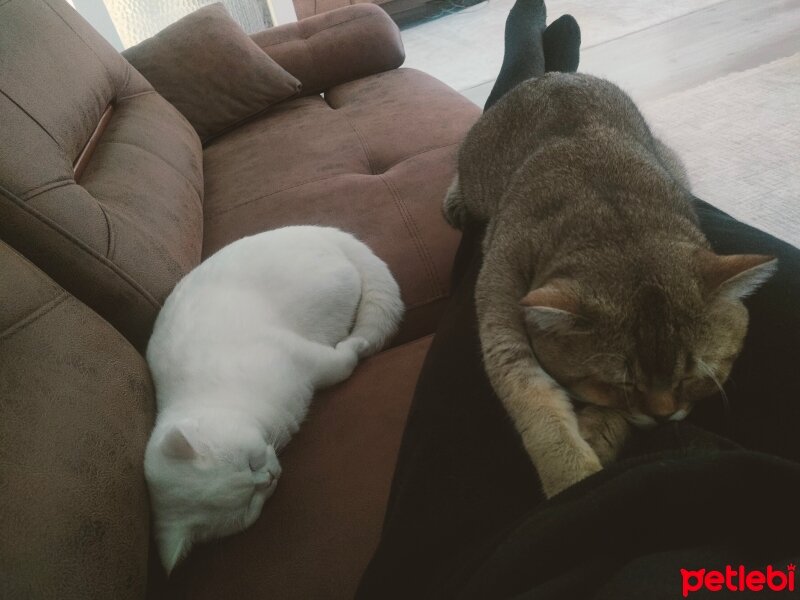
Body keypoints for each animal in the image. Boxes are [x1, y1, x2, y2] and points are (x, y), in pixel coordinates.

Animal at [144, 225, 404, 572]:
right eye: (250, 503)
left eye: (251, 462)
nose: (269, 477)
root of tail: (318, 230)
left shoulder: (302, 356)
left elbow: (342, 363)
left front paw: (356, 347)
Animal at [444, 0, 776, 496]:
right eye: (622, 382)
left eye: (694, 377)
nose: (665, 417)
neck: (614, 219)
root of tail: (552, 76)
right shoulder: (501, 297)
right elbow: (531, 396)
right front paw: (572, 478)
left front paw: (599, 440)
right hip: (480, 171)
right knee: (462, 174)